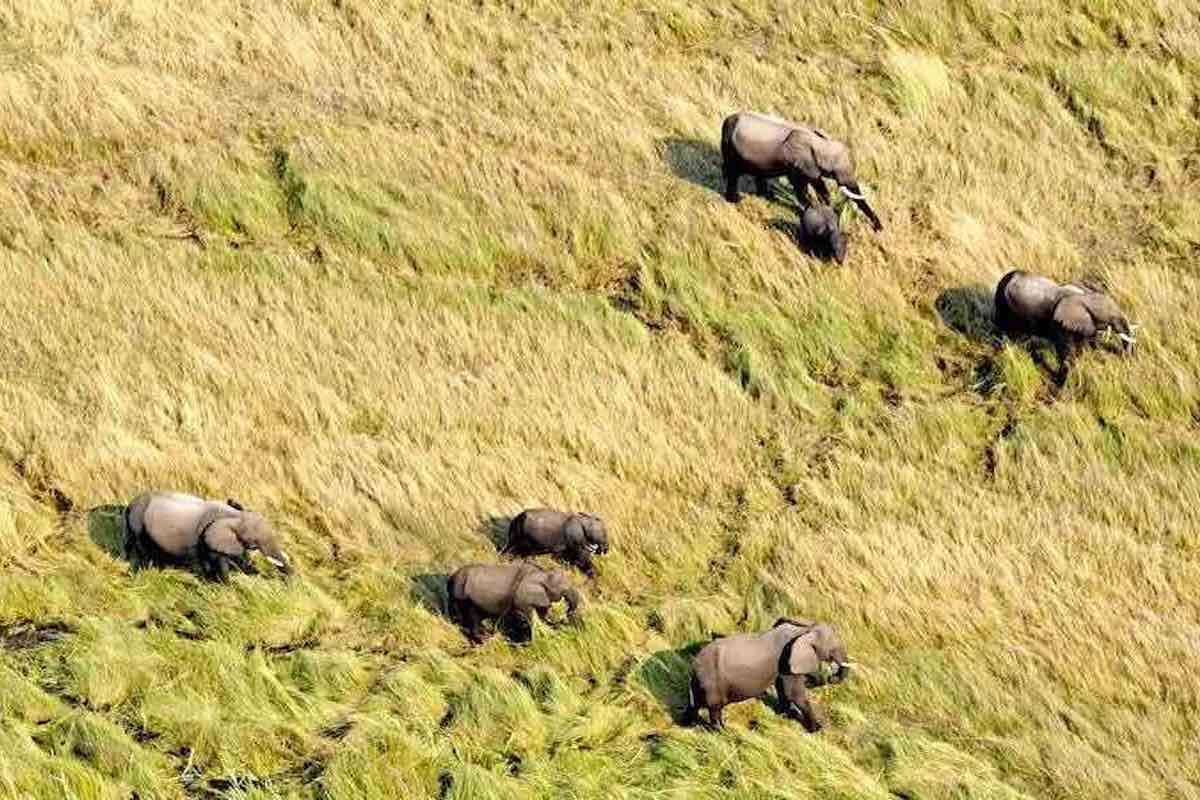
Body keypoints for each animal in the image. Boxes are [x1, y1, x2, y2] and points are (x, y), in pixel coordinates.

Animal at [124, 491, 291, 580]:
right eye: (254, 542)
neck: (235, 515)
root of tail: (130, 504)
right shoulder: (207, 538)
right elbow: (219, 562)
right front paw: (223, 585)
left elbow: (240, 560)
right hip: (137, 524)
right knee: (141, 551)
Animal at [447, 562, 581, 643]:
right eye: (563, 590)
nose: (564, 618)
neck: (542, 573)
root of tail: (451, 578)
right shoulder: (522, 599)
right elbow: (527, 618)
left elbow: (540, 615)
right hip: (464, 597)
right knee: (472, 617)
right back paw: (483, 639)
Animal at [683, 618, 852, 731]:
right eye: (832, 649)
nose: (831, 676)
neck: (803, 629)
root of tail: (693, 666)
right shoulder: (787, 660)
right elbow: (794, 694)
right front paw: (817, 729)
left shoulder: (784, 664)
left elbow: (784, 690)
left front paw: (787, 715)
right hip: (712, 682)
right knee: (715, 709)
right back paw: (722, 731)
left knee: (695, 705)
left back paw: (689, 725)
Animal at [720, 111, 883, 231]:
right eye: (834, 170)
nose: (878, 229)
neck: (820, 142)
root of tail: (727, 120)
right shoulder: (798, 161)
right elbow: (808, 184)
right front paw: (815, 209)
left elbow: (805, 184)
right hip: (730, 148)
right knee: (733, 172)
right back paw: (735, 200)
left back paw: (767, 196)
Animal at [994, 270, 1136, 378]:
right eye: (1109, 319)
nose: (1127, 360)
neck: (1082, 297)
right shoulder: (1059, 324)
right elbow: (1066, 351)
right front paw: (1062, 380)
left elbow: (1086, 343)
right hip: (1003, 306)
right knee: (1005, 331)